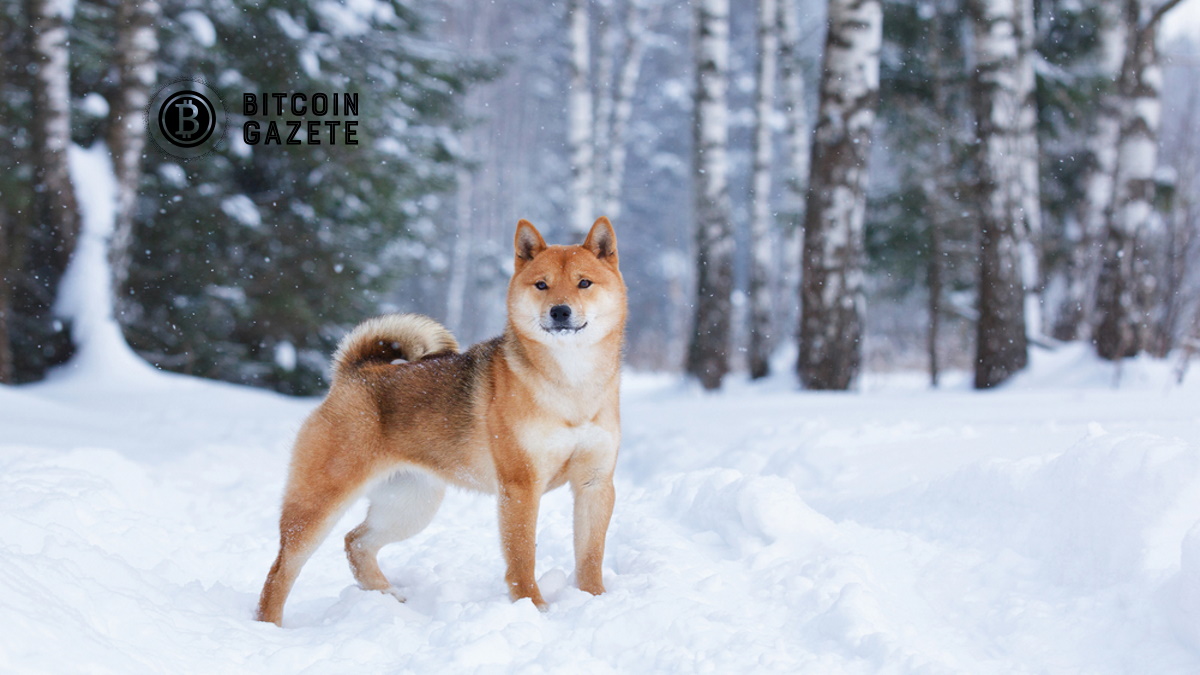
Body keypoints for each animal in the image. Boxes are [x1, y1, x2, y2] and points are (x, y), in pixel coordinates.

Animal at [254, 218, 628, 624]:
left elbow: (590, 555)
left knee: (356, 541)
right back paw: (269, 624)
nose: (560, 311)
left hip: (411, 505)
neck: (572, 387)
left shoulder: (594, 482)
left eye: (584, 283)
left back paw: (386, 594)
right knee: (281, 570)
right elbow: (522, 556)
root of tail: (357, 373)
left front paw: (594, 600)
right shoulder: (520, 485)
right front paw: (532, 605)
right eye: (541, 284)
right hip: (319, 503)